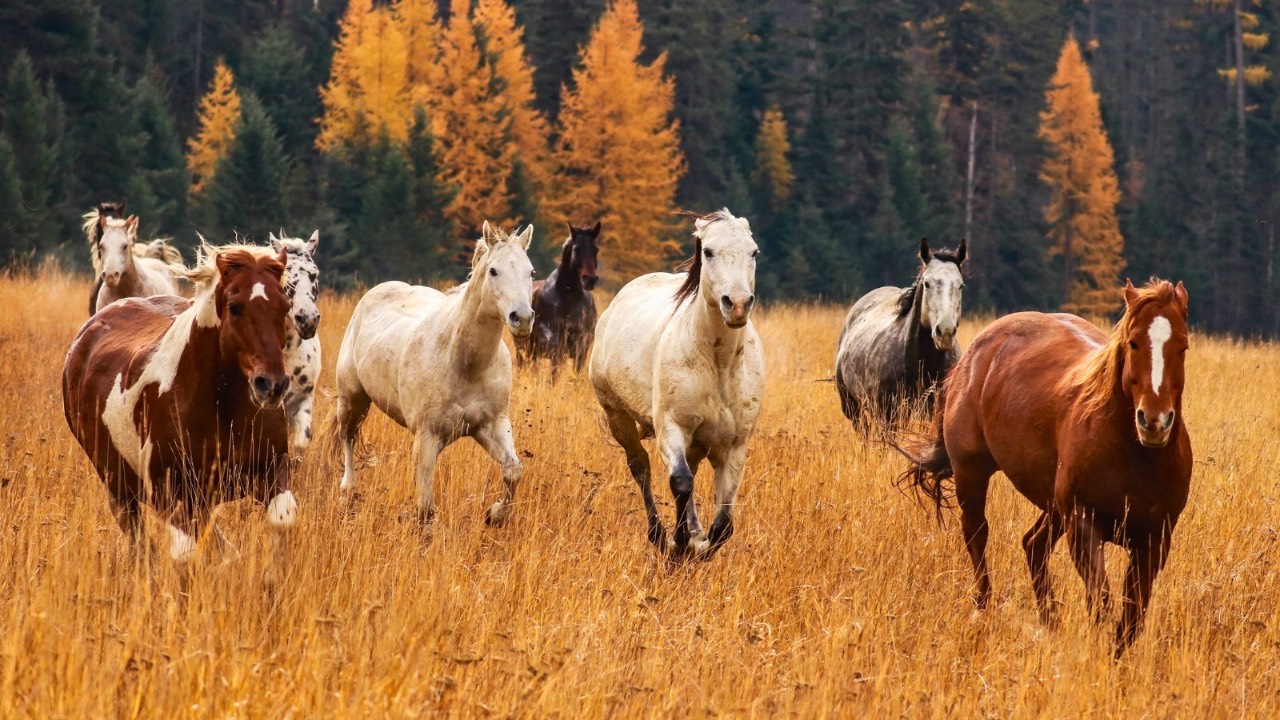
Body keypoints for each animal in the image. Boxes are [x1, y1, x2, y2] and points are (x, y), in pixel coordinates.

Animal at [63, 244, 297, 571]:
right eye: (235, 307)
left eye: (285, 306)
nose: (271, 385)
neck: (223, 409)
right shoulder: (170, 491)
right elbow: (185, 555)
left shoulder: (271, 468)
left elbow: (282, 520)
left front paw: (270, 578)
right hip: (118, 487)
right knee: (140, 543)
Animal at [334, 222, 535, 525]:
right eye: (493, 271)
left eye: (531, 272)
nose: (522, 319)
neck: (463, 362)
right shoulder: (427, 437)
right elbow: (427, 509)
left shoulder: (492, 425)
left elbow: (514, 470)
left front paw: (494, 514)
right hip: (351, 398)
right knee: (348, 436)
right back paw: (348, 489)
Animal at [519, 221, 601, 377]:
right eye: (576, 249)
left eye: (596, 250)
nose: (590, 279)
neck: (568, 299)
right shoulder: (554, 341)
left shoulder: (582, 344)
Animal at [589, 209, 764, 559]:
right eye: (708, 251)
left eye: (753, 252)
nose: (737, 304)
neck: (717, 363)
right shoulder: (672, 427)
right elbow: (680, 482)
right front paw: (680, 543)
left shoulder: (735, 445)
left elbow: (724, 522)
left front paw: (699, 543)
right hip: (617, 417)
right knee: (640, 466)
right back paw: (658, 534)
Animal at [899, 279, 1192, 657]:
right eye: (1134, 342)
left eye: (1182, 346)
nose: (1154, 421)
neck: (1137, 458)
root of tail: (975, 352)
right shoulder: (1083, 526)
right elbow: (1101, 602)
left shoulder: (1154, 542)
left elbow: (1131, 618)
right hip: (971, 474)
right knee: (977, 536)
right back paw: (983, 610)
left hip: (1053, 508)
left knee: (1033, 545)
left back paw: (1050, 623)